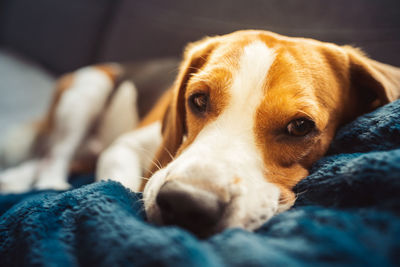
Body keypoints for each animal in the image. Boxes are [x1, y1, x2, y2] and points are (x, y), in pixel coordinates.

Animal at [0, 30, 400, 238]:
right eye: (198, 99)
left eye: (300, 127)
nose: (186, 204)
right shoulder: (122, 146)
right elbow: (123, 182)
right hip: (87, 88)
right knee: (54, 155)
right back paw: (44, 182)